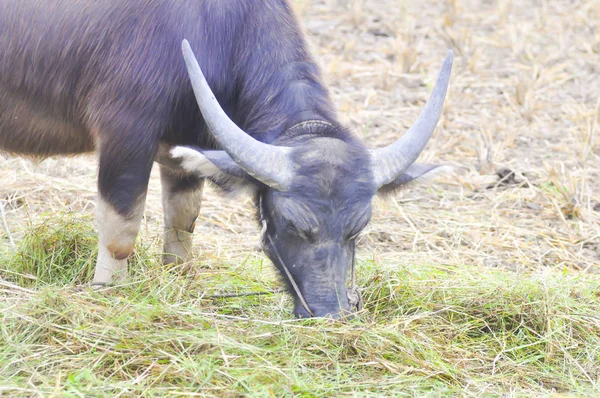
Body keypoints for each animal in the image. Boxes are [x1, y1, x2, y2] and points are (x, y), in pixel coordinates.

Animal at [0, 0, 450, 318]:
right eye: (293, 223)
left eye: (359, 228)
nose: (331, 312)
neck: (216, 31)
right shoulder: (125, 137)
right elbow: (121, 234)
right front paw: (109, 293)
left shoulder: (181, 151)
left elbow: (182, 223)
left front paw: (179, 281)